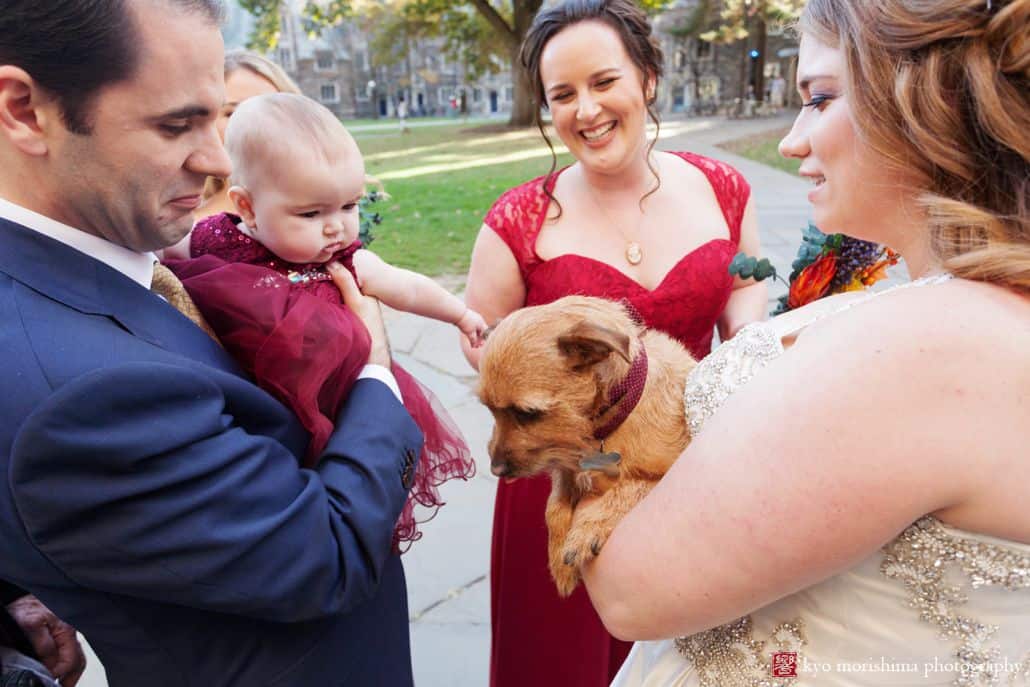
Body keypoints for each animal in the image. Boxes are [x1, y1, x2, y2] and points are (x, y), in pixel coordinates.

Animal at [477, 296, 696, 597]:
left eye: (527, 413)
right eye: (488, 409)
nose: (496, 469)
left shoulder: (674, 471)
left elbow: (633, 486)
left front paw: (590, 527)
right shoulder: (565, 465)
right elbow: (553, 506)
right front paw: (559, 561)